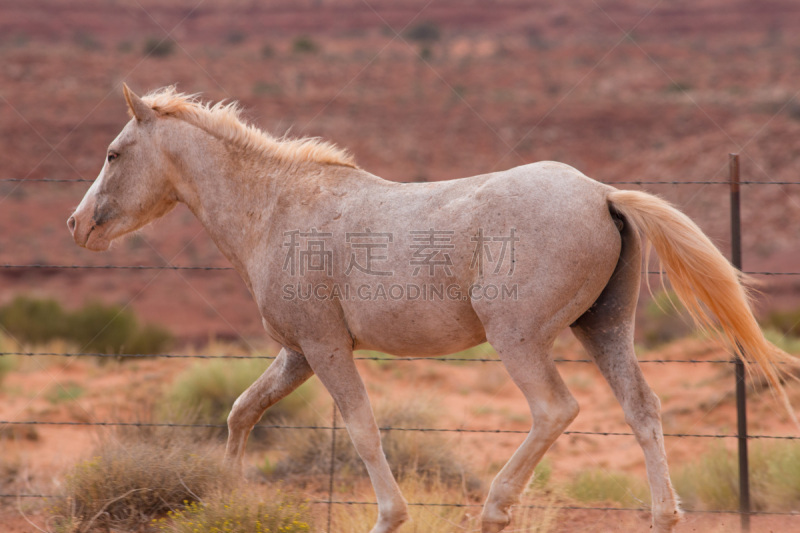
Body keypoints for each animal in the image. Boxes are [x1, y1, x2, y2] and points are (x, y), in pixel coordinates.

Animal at [67, 85, 792, 528]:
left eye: (113, 153)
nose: (76, 225)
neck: (277, 209)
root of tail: (604, 195)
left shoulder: (325, 348)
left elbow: (362, 428)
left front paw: (389, 516)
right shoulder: (297, 353)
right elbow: (242, 411)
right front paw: (227, 497)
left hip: (519, 337)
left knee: (555, 409)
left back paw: (496, 509)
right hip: (603, 328)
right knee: (643, 409)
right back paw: (663, 515)